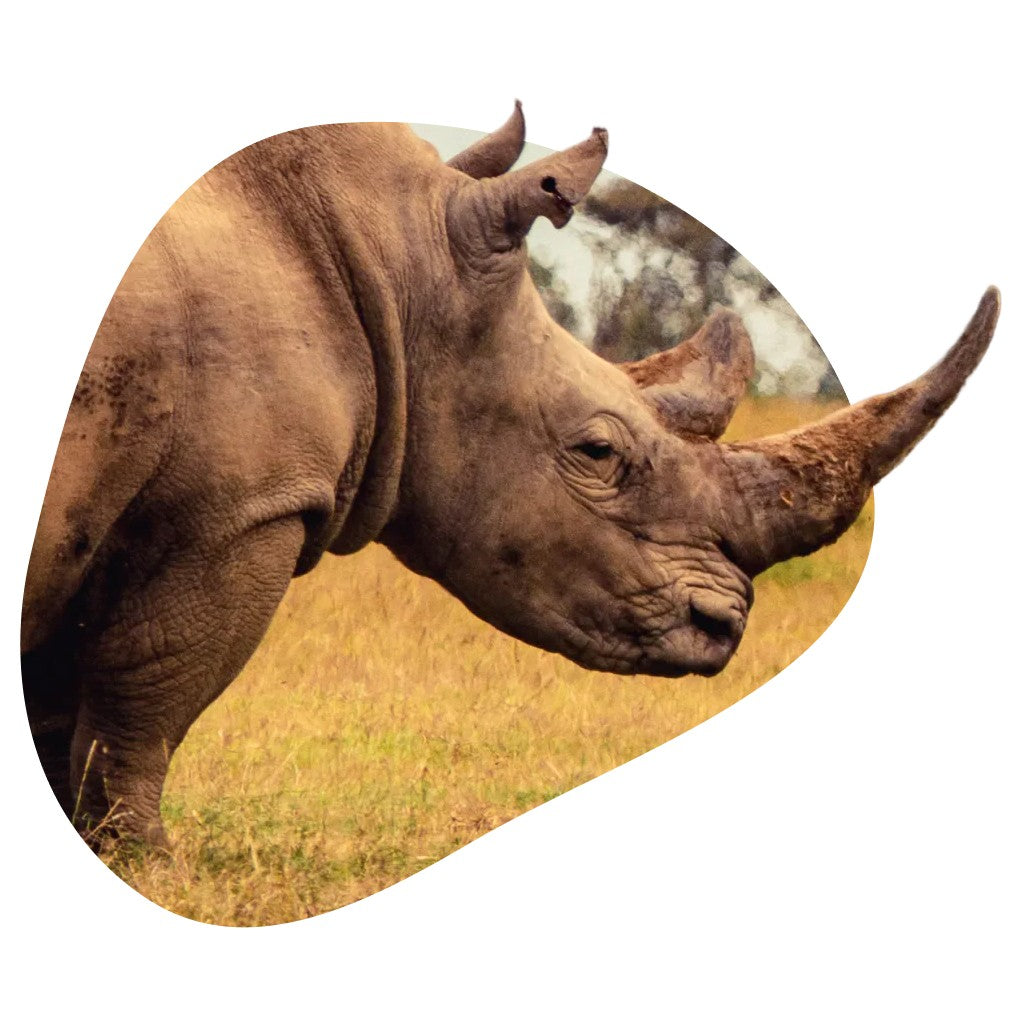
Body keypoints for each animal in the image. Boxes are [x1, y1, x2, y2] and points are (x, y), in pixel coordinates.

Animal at [21, 104, 999, 847]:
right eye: (598, 454)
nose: (724, 626)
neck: (397, 266)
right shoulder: (239, 511)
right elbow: (140, 709)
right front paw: (150, 866)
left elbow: (70, 715)